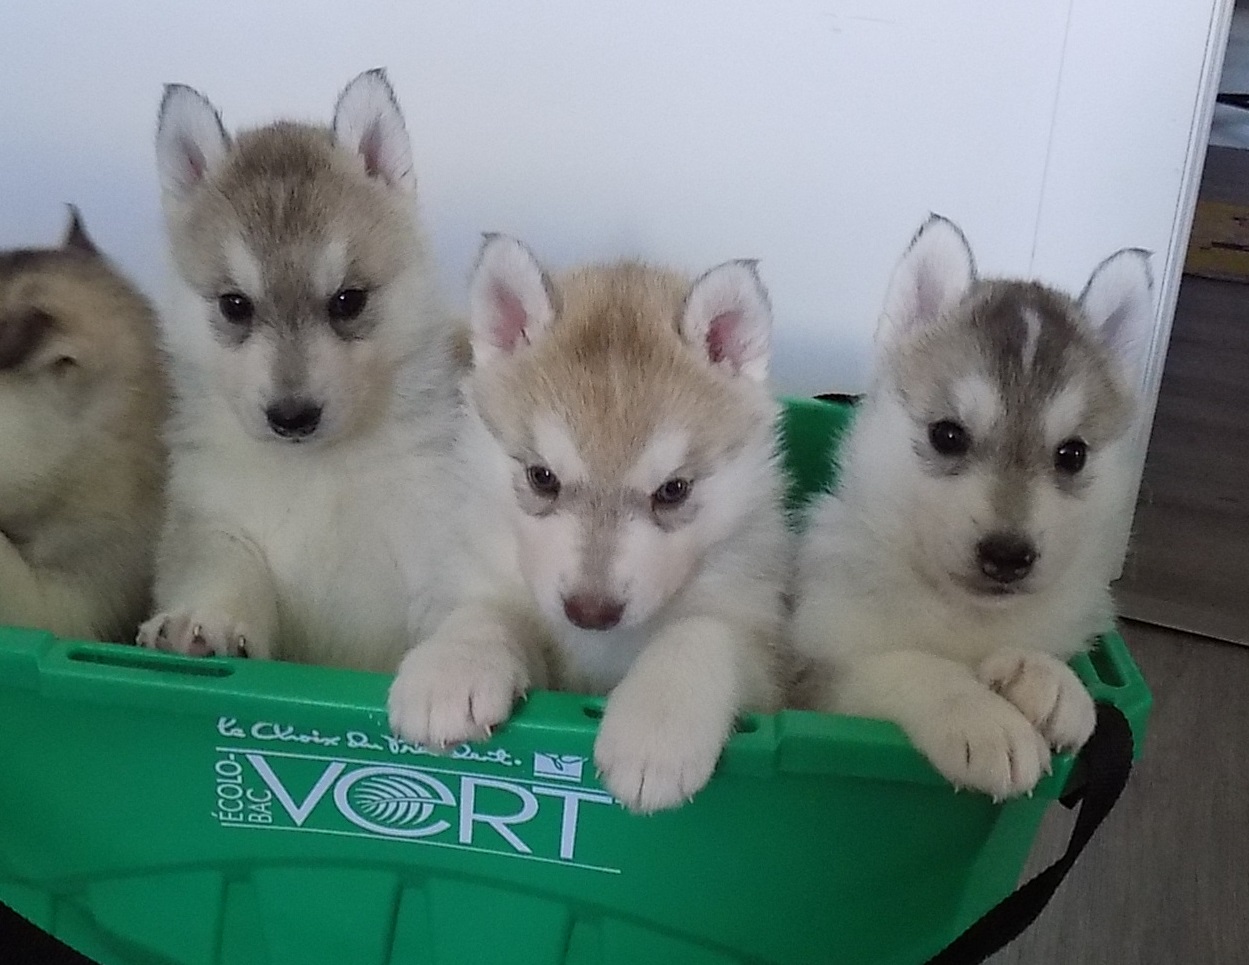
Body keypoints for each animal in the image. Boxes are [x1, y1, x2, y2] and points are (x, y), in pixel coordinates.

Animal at [136, 69, 463, 671]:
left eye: (348, 301)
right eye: (234, 305)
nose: (292, 417)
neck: (315, 471)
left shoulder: (430, 538)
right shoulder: (216, 526)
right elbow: (226, 576)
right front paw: (202, 621)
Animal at [387, 235, 790, 812]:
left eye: (673, 490)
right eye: (542, 477)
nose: (590, 612)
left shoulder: (764, 655)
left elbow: (703, 631)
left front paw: (656, 726)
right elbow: (488, 613)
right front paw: (453, 665)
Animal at [791, 215, 1153, 799]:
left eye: (1072, 454)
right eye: (947, 435)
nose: (1008, 556)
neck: (969, 618)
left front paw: (1051, 680)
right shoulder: (815, 675)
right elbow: (904, 666)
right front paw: (981, 718)